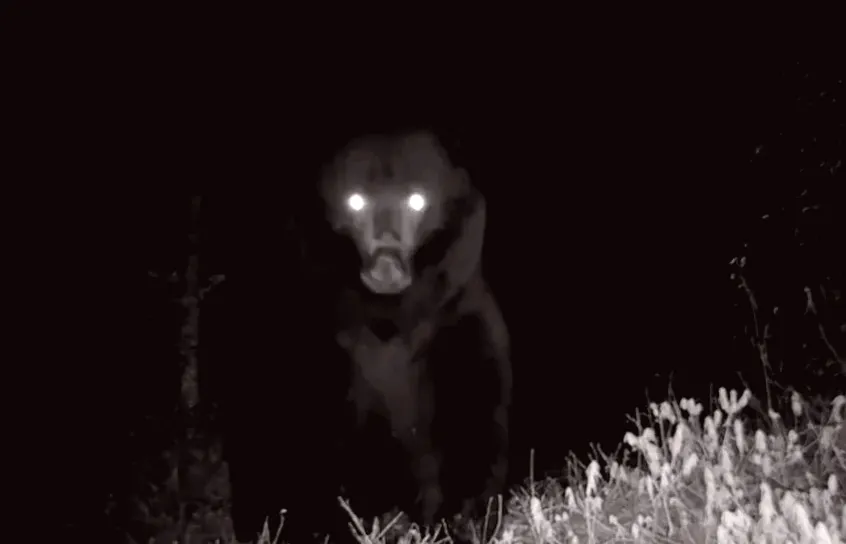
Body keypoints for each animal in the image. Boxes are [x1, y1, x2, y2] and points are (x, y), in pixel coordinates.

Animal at [317, 130, 513, 541]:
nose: (386, 264)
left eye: (417, 199)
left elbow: (475, 422)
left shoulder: (457, 323)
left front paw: (460, 521)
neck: (391, 320)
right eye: (355, 199)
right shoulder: (339, 344)